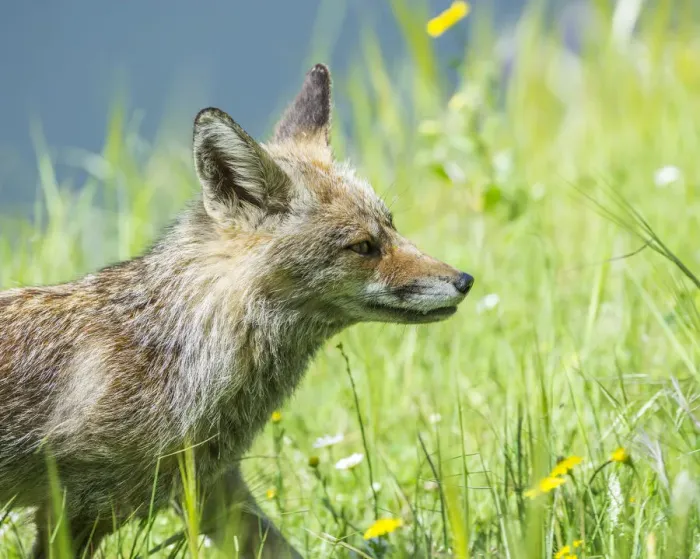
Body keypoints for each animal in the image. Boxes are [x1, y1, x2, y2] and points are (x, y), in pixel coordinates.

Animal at [0, 63, 474, 558]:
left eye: (392, 227)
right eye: (364, 246)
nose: (465, 280)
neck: (180, 353)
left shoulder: (213, 488)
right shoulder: (74, 509)